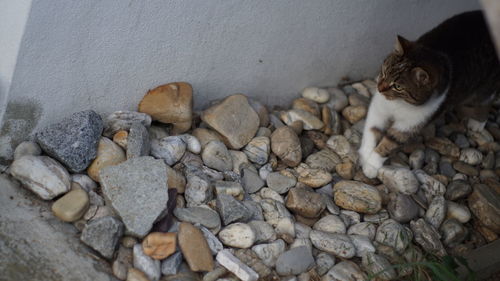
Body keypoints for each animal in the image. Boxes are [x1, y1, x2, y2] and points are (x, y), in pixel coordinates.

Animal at [360, 10, 500, 178]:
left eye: (398, 87)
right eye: (384, 72)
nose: (379, 88)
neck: (399, 104)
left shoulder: (410, 124)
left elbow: (391, 142)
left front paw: (371, 165)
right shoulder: (379, 108)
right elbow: (372, 129)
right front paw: (364, 154)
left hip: (484, 87)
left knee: (485, 100)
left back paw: (477, 123)